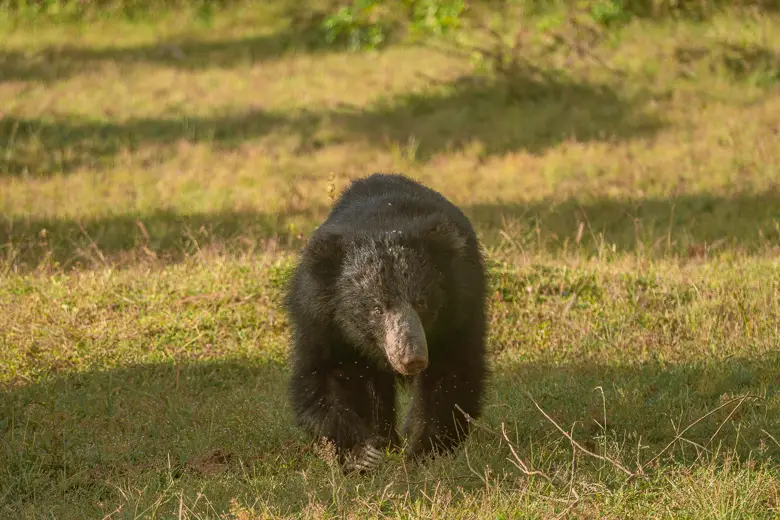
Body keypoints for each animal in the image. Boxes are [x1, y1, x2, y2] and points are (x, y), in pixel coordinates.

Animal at [284, 172, 488, 473]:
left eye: (421, 302)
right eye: (377, 309)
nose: (411, 358)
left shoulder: (461, 310)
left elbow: (453, 375)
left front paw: (425, 452)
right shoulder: (320, 321)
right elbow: (325, 378)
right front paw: (365, 454)